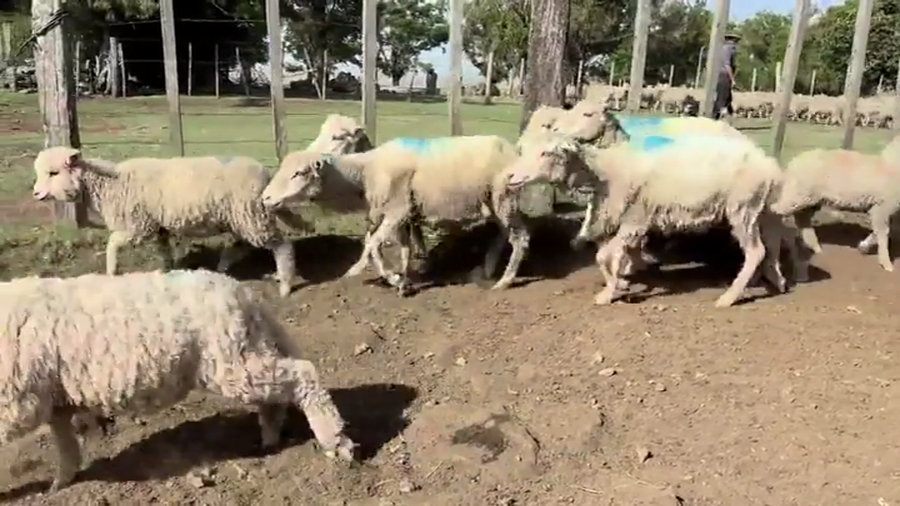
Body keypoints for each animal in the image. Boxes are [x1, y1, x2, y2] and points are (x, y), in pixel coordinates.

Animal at [0, 268, 355, 492]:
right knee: (277, 394)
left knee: (303, 374)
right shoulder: (52, 397)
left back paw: (335, 441)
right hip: (246, 353)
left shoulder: (15, 403)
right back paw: (271, 437)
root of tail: (242, 292)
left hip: (232, 362)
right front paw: (62, 481)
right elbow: (65, 444)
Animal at [261, 135, 526, 295]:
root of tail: (513, 149)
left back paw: (504, 281)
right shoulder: (396, 215)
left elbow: (372, 245)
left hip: (504, 198)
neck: (365, 173)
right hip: (496, 203)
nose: (265, 198)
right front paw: (402, 279)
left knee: (520, 238)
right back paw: (488, 269)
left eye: (299, 173)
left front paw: (370, 272)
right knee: (504, 235)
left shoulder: (398, 211)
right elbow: (398, 248)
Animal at [504, 134, 789, 307]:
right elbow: (619, 256)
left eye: (546, 153)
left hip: (742, 207)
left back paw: (729, 296)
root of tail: (771, 165)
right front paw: (622, 280)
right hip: (761, 211)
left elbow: (603, 256)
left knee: (756, 251)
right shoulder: (632, 221)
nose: (510, 176)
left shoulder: (635, 220)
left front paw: (608, 293)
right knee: (771, 246)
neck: (606, 171)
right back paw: (775, 281)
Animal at [771, 145, 900, 272]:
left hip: (810, 199)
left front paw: (863, 246)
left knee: (802, 220)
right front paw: (887, 264)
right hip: (798, 194)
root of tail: (793, 161)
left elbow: (881, 232)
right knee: (775, 210)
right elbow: (883, 233)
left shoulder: (883, 209)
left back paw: (814, 247)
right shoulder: (882, 206)